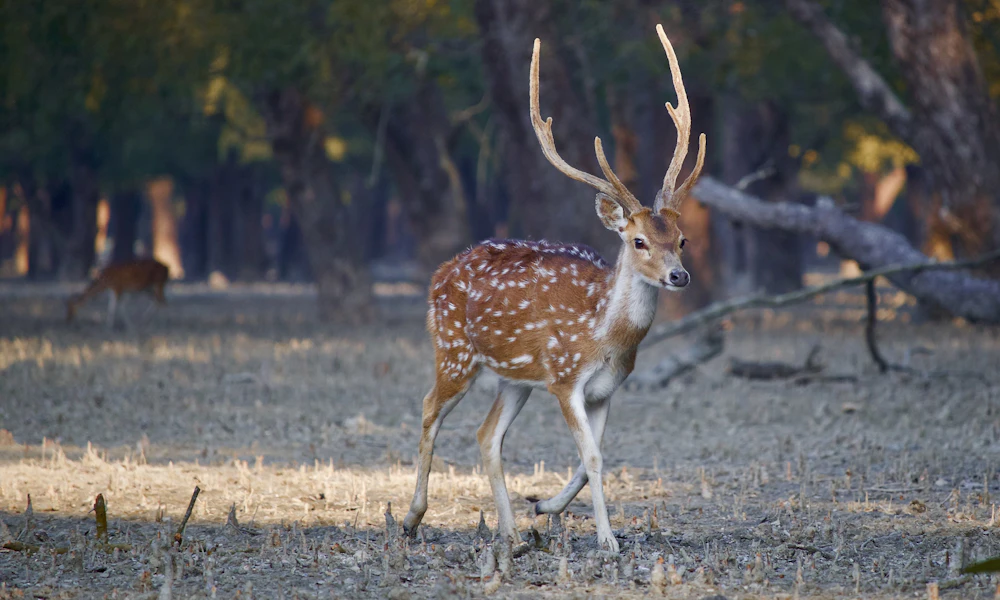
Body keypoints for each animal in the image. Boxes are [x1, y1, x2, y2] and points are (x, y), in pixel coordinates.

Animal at [402, 24, 706, 553]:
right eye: (639, 240)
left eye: (682, 239)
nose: (679, 276)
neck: (605, 336)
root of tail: (440, 273)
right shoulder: (565, 379)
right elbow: (593, 458)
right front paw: (607, 540)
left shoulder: (606, 388)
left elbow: (595, 458)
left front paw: (544, 507)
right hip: (455, 351)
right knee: (428, 409)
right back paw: (411, 518)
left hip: (515, 378)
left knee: (486, 434)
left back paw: (511, 533)